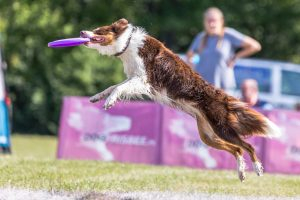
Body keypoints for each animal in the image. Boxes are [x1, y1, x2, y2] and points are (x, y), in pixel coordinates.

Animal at [81, 18, 280, 181]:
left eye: (98, 31)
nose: (82, 32)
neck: (128, 45)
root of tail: (223, 98)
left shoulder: (143, 80)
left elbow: (118, 88)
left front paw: (109, 101)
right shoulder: (134, 78)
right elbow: (112, 87)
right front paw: (97, 97)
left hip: (223, 129)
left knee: (248, 146)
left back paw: (258, 168)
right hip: (208, 136)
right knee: (237, 149)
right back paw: (241, 172)